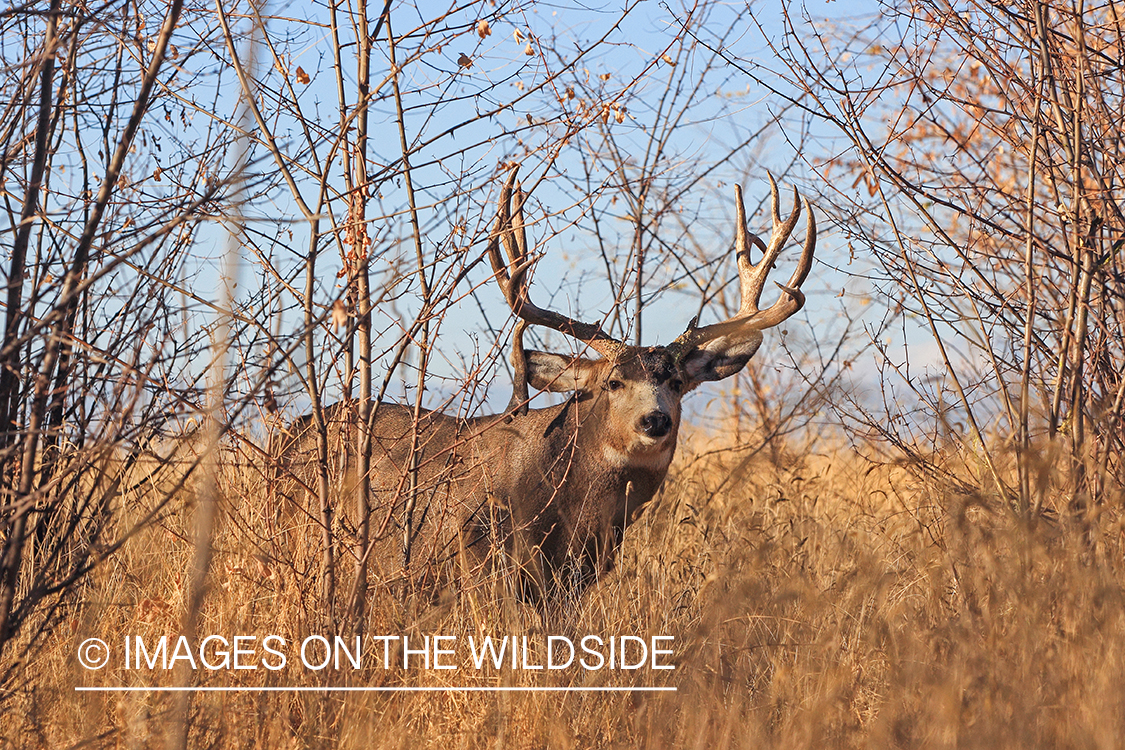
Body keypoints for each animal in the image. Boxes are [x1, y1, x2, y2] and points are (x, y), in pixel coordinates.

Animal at [277, 168, 815, 602]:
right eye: (613, 383)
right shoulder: (479, 559)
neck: (569, 505)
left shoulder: (580, 576)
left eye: (679, 382)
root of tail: (292, 431)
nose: (655, 420)